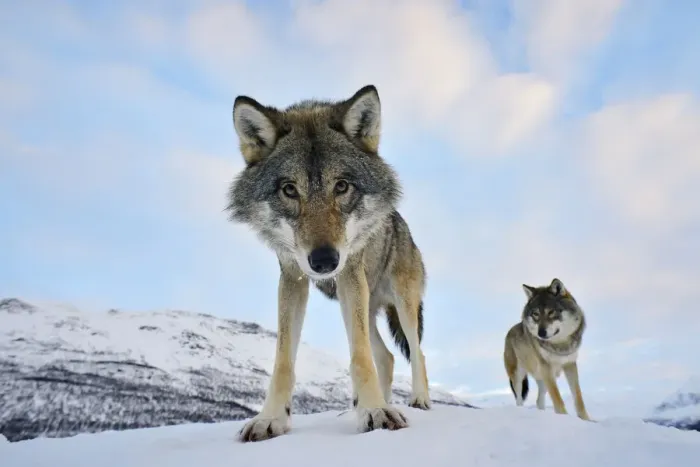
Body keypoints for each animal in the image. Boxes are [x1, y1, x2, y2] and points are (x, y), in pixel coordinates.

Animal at [226, 85, 431, 442]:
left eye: (342, 186)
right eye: (289, 190)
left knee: (415, 351)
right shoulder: (292, 277)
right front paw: (270, 418)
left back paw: (418, 400)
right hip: (363, 305)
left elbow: (360, 356)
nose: (324, 261)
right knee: (387, 356)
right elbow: (283, 360)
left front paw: (375, 411)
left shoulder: (350, 274)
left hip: (400, 303)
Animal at [503, 278, 591, 421]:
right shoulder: (546, 367)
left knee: (539, 401)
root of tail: (510, 331)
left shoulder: (570, 364)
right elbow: (557, 398)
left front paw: (586, 420)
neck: (560, 344)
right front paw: (564, 417)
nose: (541, 333)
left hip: (542, 378)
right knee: (519, 399)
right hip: (519, 375)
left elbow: (578, 397)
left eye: (551, 312)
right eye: (536, 314)